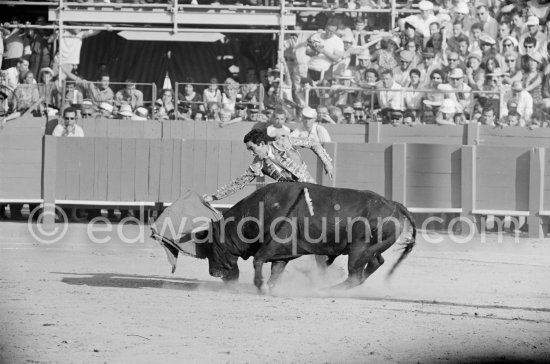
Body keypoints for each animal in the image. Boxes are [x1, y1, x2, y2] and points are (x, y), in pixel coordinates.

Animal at [152, 182, 418, 292]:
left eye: (210, 247)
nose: (214, 273)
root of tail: (393, 204)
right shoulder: (283, 253)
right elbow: (276, 270)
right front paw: (268, 286)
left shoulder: (276, 246)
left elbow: (259, 261)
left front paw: (260, 285)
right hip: (367, 250)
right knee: (374, 265)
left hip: (357, 250)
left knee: (355, 274)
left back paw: (327, 289)